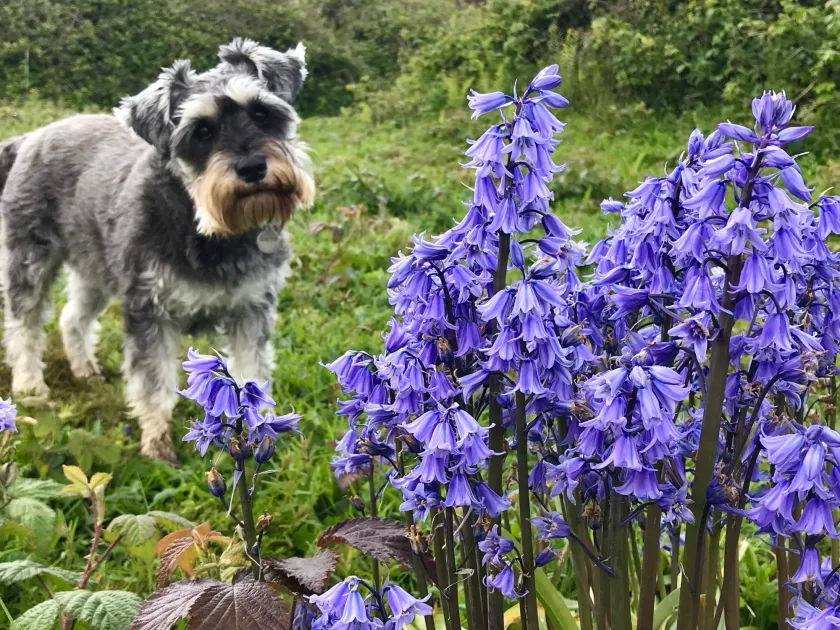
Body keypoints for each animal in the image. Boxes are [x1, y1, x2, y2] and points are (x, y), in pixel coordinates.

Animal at [0, 38, 318, 464]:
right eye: (202, 131)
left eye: (261, 112)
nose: (252, 167)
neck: (211, 229)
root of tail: (29, 138)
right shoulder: (150, 313)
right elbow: (153, 385)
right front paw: (157, 445)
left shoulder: (251, 311)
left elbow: (252, 374)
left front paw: (260, 434)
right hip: (29, 260)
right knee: (25, 325)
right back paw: (31, 388)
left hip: (96, 269)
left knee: (73, 318)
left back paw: (85, 370)